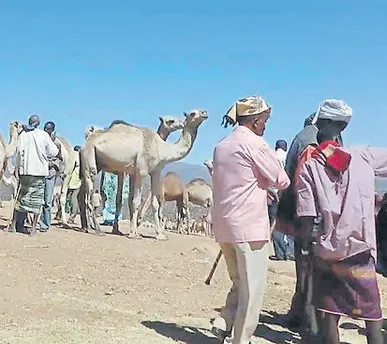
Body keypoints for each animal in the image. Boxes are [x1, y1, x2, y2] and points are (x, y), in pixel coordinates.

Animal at [78, 110, 209, 239]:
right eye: (192, 113)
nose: (205, 113)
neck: (161, 148)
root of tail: (86, 142)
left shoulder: (155, 172)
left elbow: (154, 203)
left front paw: (160, 234)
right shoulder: (141, 172)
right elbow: (136, 202)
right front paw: (134, 234)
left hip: (94, 164)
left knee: (81, 195)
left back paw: (86, 227)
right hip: (90, 157)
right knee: (89, 196)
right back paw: (97, 230)